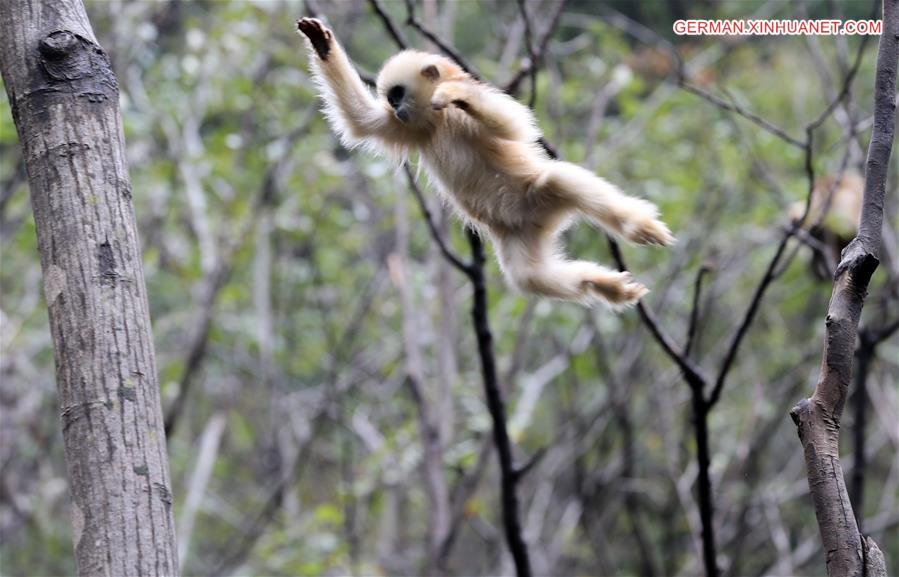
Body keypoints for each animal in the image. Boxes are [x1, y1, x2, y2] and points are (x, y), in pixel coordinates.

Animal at [297, 17, 674, 308]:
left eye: (399, 94)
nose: (398, 108)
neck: (437, 123)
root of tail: (541, 219)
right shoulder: (408, 127)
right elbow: (359, 120)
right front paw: (321, 43)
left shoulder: (449, 116)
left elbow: (516, 126)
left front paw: (455, 93)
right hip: (517, 235)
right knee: (529, 277)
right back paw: (610, 287)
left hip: (536, 194)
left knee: (558, 180)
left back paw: (638, 226)